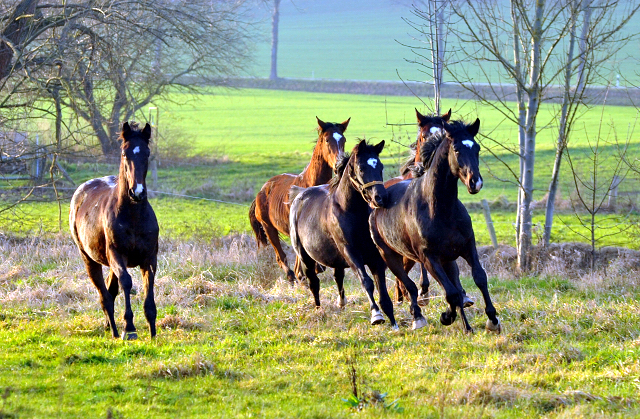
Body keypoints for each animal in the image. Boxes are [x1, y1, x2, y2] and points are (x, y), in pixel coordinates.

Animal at [69, 122, 159, 342]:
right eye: (125, 153)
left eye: (147, 153)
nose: (137, 192)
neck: (133, 215)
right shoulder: (117, 255)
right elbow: (126, 282)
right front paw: (130, 329)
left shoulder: (149, 258)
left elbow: (149, 285)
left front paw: (153, 332)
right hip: (90, 259)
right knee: (105, 296)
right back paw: (114, 331)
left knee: (110, 290)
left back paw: (109, 325)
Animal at [250, 116, 350, 284]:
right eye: (327, 140)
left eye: (343, 139)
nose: (339, 165)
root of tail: (262, 190)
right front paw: (301, 274)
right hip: (269, 228)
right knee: (281, 257)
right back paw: (292, 276)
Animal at [288, 139, 396, 330]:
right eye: (361, 168)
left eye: (380, 166)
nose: (381, 197)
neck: (352, 212)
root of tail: (299, 195)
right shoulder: (351, 252)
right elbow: (366, 281)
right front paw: (376, 315)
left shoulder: (375, 256)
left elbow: (381, 285)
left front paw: (392, 318)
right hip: (305, 257)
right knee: (313, 282)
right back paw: (319, 310)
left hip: (335, 258)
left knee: (338, 276)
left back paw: (341, 303)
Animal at [370, 119, 500, 334]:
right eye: (456, 149)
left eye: (477, 148)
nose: (476, 182)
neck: (440, 210)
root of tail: (376, 203)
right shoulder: (429, 258)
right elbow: (451, 293)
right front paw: (448, 317)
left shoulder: (466, 247)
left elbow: (479, 278)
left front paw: (492, 320)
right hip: (389, 255)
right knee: (407, 283)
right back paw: (417, 317)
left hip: (430, 257)